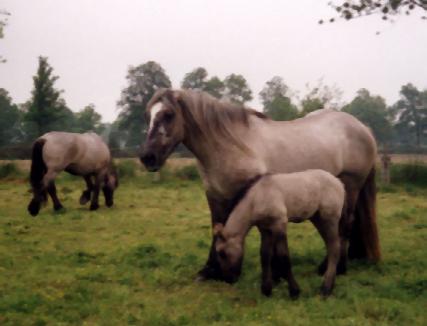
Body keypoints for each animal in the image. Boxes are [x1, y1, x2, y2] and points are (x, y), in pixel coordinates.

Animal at [140, 88, 382, 280]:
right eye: (148, 115)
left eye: (169, 114)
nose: (147, 157)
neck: (230, 145)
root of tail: (364, 128)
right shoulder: (215, 195)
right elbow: (216, 228)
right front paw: (209, 271)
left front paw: (275, 273)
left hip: (350, 186)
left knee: (346, 224)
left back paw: (335, 268)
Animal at [214, 171, 348, 298]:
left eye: (222, 253)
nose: (228, 279)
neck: (257, 198)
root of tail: (339, 183)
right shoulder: (265, 229)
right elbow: (265, 255)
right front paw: (266, 290)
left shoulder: (280, 225)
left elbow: (283, 256)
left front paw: (294, 291)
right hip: (317, 219)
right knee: (331, 246)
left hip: (329, 219)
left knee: (334, 248)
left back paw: (326, 289)